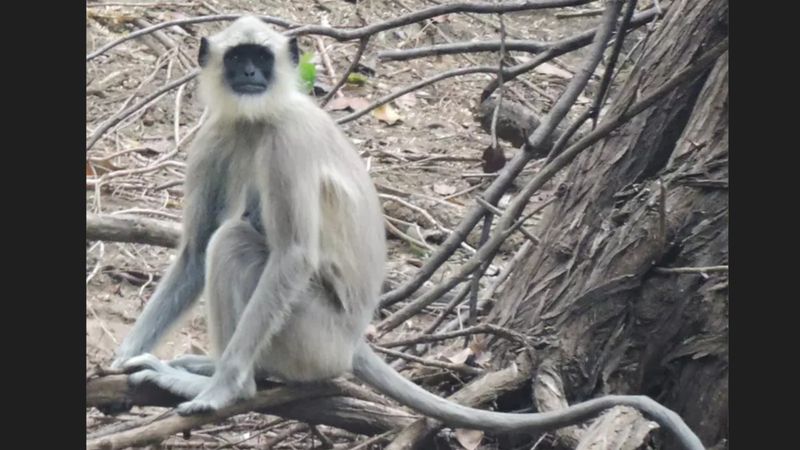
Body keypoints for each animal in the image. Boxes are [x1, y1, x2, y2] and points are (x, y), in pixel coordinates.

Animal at [109, 15, 704, 448]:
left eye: (262, 59)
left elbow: (293, 255)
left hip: (314, 336)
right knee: (223, 241)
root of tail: (353, 341)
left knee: (235, 244)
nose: (252, 77)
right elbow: (191, 251)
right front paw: (117, 362)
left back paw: (234, 379)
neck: (258, 118)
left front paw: (221, 391)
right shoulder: (216, 133)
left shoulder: (289, 138)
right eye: (238, 60)